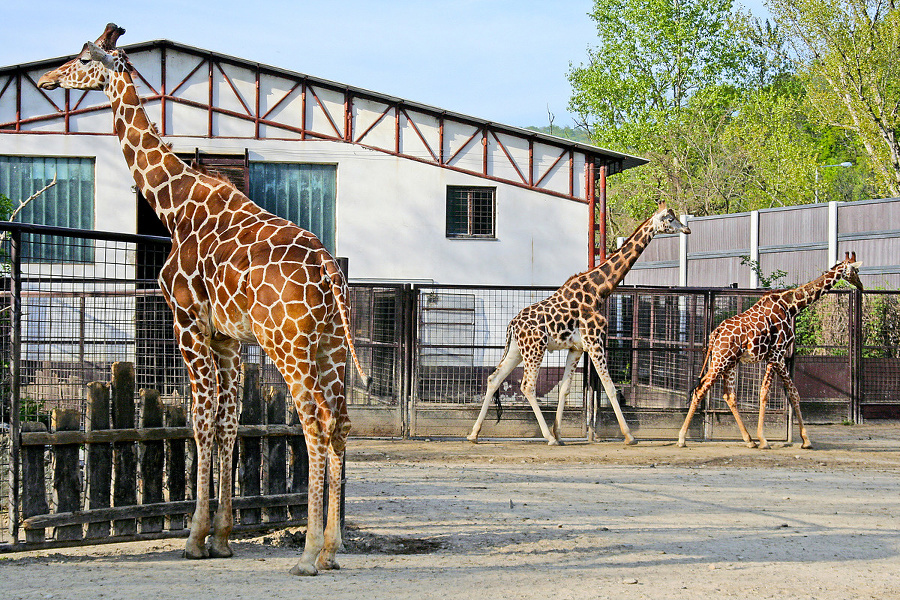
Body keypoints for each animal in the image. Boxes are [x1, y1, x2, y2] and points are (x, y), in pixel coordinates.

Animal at [37, 24, 370, 576]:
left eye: (83, 57)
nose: (46, 79)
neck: (174, 206)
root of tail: (328, 267)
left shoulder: (187, 321)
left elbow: (201, 419)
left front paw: (195, 537)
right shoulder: (227, 337)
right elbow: (228, 420)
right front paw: (223, 536)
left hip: (288, 345)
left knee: (314, 422)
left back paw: (307, 553)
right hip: (329, 347)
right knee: (340, 421)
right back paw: (333, 547)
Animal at [468, 204, 692, 442]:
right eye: (669, 218)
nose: (686, 229)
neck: (599, 290)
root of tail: (512, 324)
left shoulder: (576, 348)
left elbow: (565, 388)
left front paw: (559, 432)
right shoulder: (595, 341)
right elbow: (609, 387)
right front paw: (629, 435)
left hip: (518, 351)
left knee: (494, 378)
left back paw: (474, 433)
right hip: (536, 348)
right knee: (527, 386)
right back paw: (547, 437)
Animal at [676, 252, 864, 450]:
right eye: (856, 270)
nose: (861, 285)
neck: (791, 307)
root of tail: (715, 334)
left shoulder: (779, 357)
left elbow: (794, 393)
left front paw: (806, 440)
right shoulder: (775, 353)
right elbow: (764, 392)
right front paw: (764, 439)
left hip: (729, 362)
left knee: (729, 395)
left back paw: (749, 440)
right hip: (722, 360)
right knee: (701, 389)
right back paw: (682, 438)